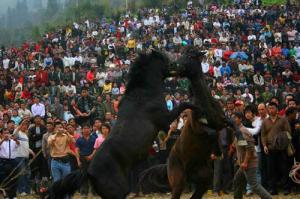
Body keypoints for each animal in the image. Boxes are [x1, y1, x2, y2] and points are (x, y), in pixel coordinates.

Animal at [47, 50, 196, 199]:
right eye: (165, 59)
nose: (179, 65)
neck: (144, 93)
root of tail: (88, 172)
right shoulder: (164, 118)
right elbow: (183, 105)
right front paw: (196, 107)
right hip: (118, 191)